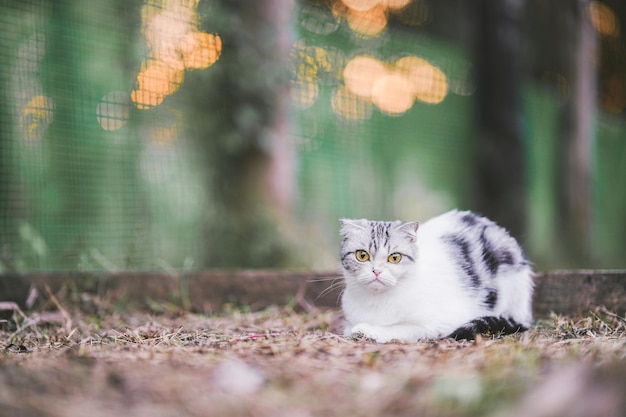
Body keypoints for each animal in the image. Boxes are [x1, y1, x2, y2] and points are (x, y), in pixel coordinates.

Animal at [336, 210, 532, 342]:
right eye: (362, 255)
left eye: (394, 257)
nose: (376, 271)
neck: (376, 302)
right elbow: (348, 328)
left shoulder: (441, 322)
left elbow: (399, 329)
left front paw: (368, 330)